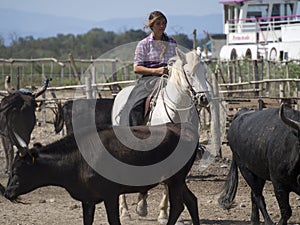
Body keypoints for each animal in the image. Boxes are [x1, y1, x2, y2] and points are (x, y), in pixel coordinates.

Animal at [4, 123, 199, 225]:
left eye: (18, 170)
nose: (6, 193)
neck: (78, 160)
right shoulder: (87, 200)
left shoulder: (110, 195)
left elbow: (114, 221)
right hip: (176, 180)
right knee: (191, 200)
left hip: (176, 180)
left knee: (178, 206)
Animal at [110, 48, 211, 223]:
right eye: (189, 73)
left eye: (205, 72)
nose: (204, 98)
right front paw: (158, 212)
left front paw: (162, 212)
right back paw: (125, 212)